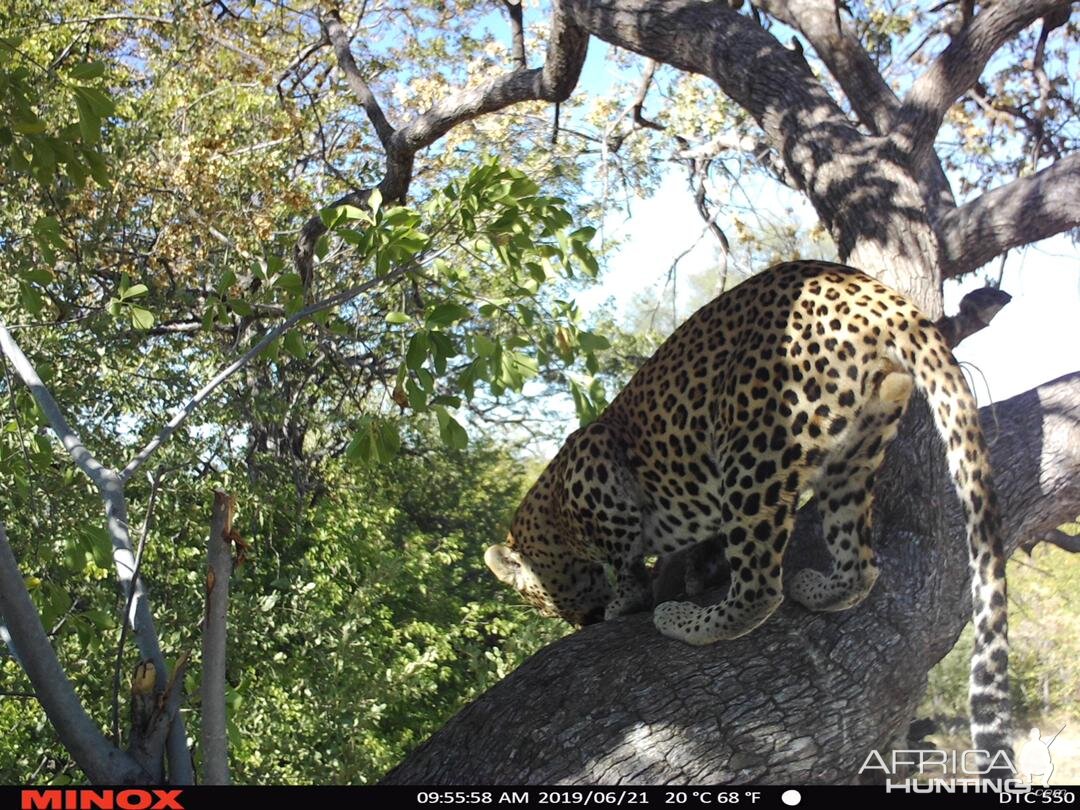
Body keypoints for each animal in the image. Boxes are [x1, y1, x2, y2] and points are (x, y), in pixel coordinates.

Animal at [486, 261, 1006, 760]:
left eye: (536, 599)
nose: (581, 623)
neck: (551, 515)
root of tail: (873, 294)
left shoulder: (595, 467)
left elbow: (625, 561)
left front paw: (627, 600)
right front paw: (691, 570)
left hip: (753, 441)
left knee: (759, 587)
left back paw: (684, 621)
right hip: (855, 454)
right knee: (861, 566)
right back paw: (817, 589)